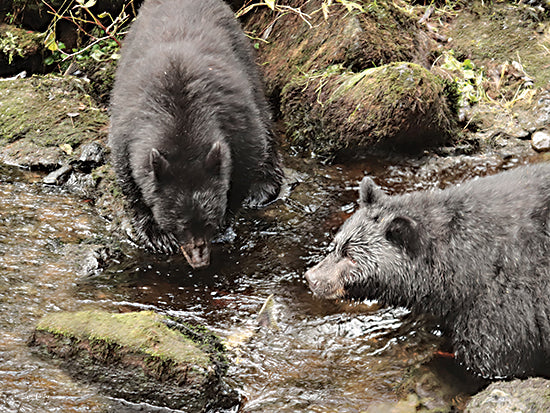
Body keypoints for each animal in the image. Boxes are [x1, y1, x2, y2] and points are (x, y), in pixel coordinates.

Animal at [110, 0, 286, 268]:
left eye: (207, 221)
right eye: (179, 225)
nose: (199, 261)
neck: (182, 125)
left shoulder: (237, 122)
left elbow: (246, 160)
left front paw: (227, 219)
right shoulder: (127, 130)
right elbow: (130, 180)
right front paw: (156, 235)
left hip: (243, 54)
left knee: (263, 112)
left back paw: (264, 188)